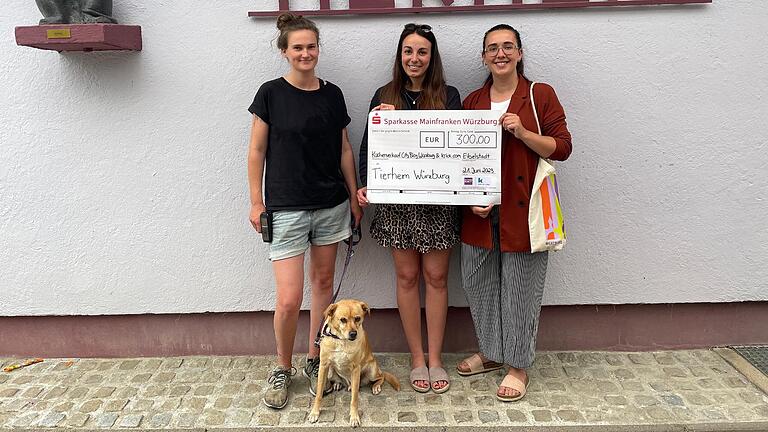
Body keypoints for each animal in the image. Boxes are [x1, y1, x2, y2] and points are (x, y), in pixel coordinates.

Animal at [308, 298, 402, 426]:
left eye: (357, 318)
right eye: (343, 319)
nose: (353, 334)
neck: (341, 340)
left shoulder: (356, 368)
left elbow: (354, 399)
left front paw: (354, 417)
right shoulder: (323, 366)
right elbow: (318, 394)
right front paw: (314, 412)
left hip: (372, 370)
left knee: (380, 377)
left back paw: (375, 386)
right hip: (330, 372)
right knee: (340, 380)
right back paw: (338, 383)